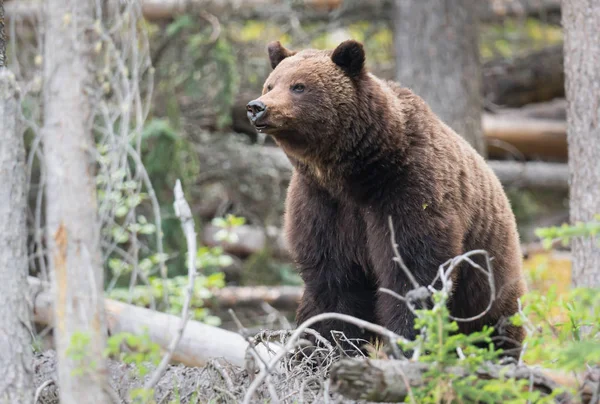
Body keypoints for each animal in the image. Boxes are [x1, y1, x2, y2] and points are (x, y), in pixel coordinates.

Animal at [246, 39, 528, 356]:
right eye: (270, 84)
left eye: (299, 86)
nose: (257, 107)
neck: (354, 173)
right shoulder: (321, 205)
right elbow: (333, 283)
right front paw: (324, 347)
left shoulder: (407, 191)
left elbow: (412, 273)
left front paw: (407, 343)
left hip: (489, 269)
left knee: (495, 324)